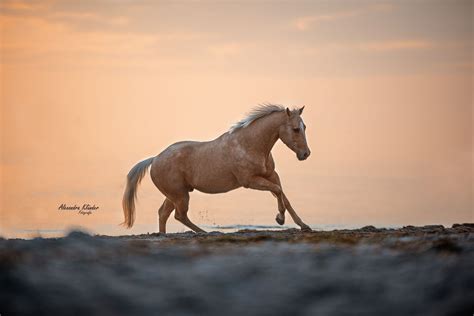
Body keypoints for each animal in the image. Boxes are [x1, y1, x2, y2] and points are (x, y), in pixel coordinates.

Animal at [123, 105, 312, 233]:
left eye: (305, 127)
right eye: (296, 129)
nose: (305, 154)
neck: (250, 145)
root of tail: (154, 159)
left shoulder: (272, 175)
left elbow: (284, 196)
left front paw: (304, 225)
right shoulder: (250, 181)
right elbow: (278, 191)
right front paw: (280, 219)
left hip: (175, 195)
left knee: (164, 213)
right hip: (180, 195)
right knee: (179, 215)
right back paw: (204, 233)